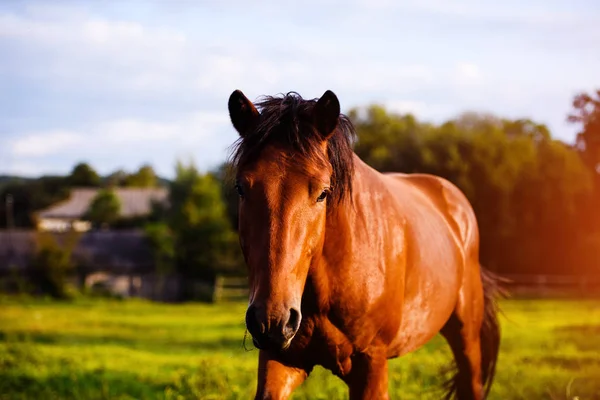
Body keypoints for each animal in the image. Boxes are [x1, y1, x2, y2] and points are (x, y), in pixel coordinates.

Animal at [227, 89, 500, 398]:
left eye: (323, 193)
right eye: (240, 188)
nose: (272, 320)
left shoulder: (372, 364)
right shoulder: (280, 360)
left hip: (467, 339)